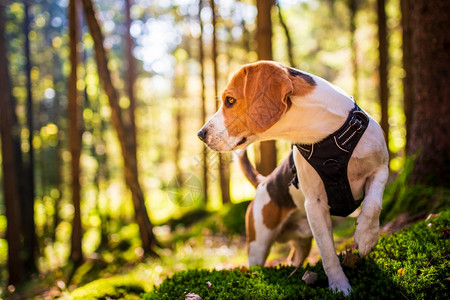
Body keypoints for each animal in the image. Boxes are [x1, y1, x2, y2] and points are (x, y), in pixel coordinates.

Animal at [198, 61, 390, 296]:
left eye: (230, 100)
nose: (201, 134)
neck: (326, 133)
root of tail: (263, 182)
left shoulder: (381, 169)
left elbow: (373, 205)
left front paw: (366, 237)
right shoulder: (315, 204)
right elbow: (327, 252)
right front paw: (339, 286)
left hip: (300, 243)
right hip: (257, 244)